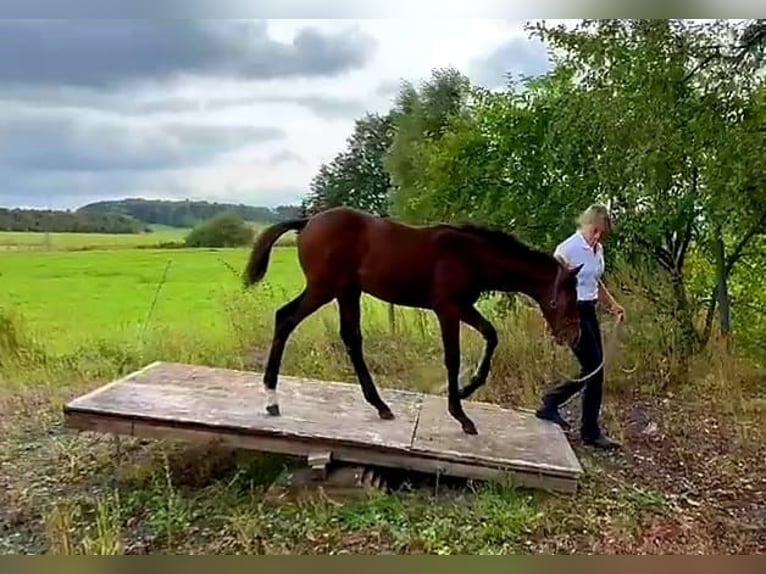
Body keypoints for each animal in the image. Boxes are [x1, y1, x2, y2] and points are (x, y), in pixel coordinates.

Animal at [243, 207, 584, 436]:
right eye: (565, 299)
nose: (574, 336)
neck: (471, 255)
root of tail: (308, 222)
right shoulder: (447, 309)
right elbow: (453, 357)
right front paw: (461, 414)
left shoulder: (463, 307)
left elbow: (491, 334)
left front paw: (468, 389)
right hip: (325, 289)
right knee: (287, 318)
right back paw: (272, 398)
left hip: (345, 292)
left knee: (346, 336)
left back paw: (378, 405)